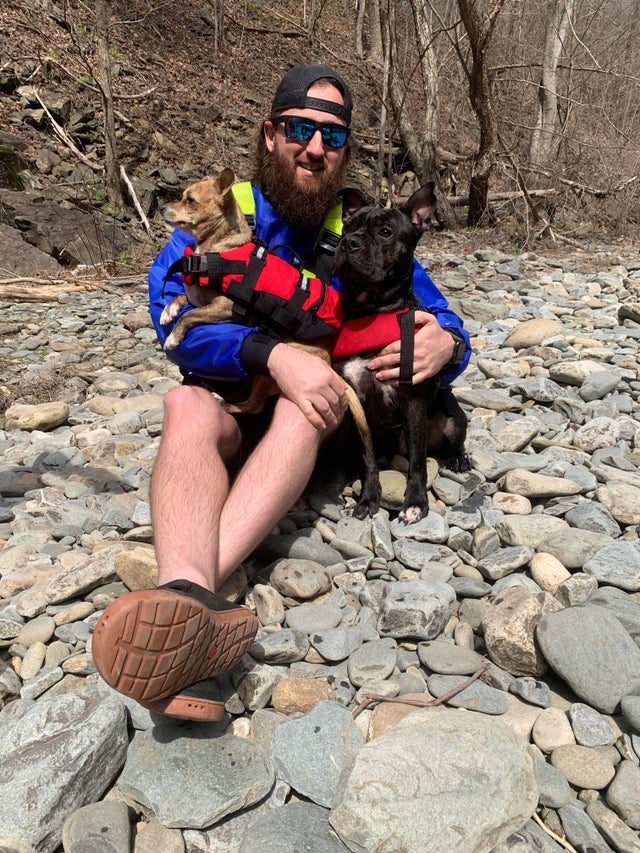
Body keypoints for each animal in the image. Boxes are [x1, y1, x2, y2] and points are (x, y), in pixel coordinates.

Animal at [332, 182, 468, 523]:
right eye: (348, 227)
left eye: (385, 232)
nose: (348, 242)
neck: (371, 311)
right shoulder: (357, 404)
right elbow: (367, 457)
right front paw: (368, 498)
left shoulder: (413, 400)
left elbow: (418, 461)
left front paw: (416, 502)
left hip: (454, 420)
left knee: (448, 442)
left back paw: (458, 459)